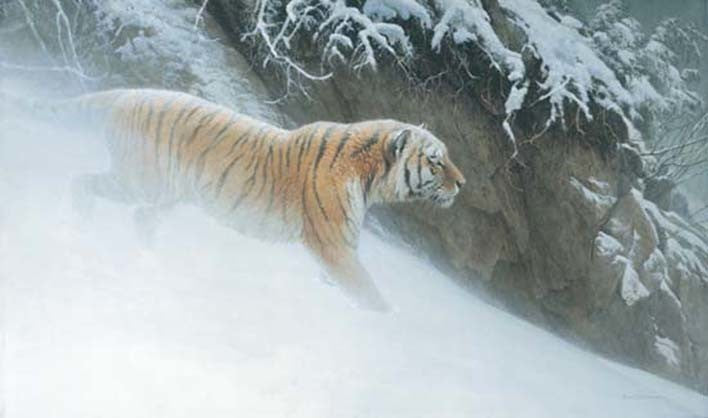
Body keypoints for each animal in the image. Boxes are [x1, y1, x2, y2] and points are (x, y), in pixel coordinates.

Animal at [3, 88, 466, 311]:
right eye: (436, 161)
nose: (462, 183)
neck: (369, 176)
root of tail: (128, 93)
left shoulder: (338, 252)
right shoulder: (336, 247)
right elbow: (371, 295)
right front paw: (393, 323)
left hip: (165, 193)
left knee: (141, 220)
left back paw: (153, 263)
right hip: (140, 181)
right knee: (82, 183)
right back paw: (79, 229)